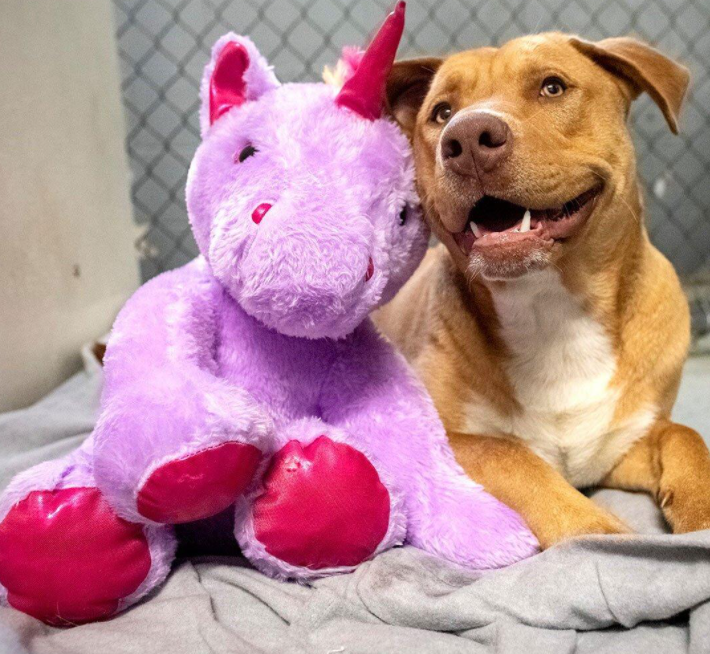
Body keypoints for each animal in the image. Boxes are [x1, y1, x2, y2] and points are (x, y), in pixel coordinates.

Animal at [378, 34, 710, 548]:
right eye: (441, 112)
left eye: (552, 87)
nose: (466, 138)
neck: (552, 314)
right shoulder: (441, 439)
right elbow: (508, 455)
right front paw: (598, 532)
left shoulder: (623, 445)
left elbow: (686, 437)